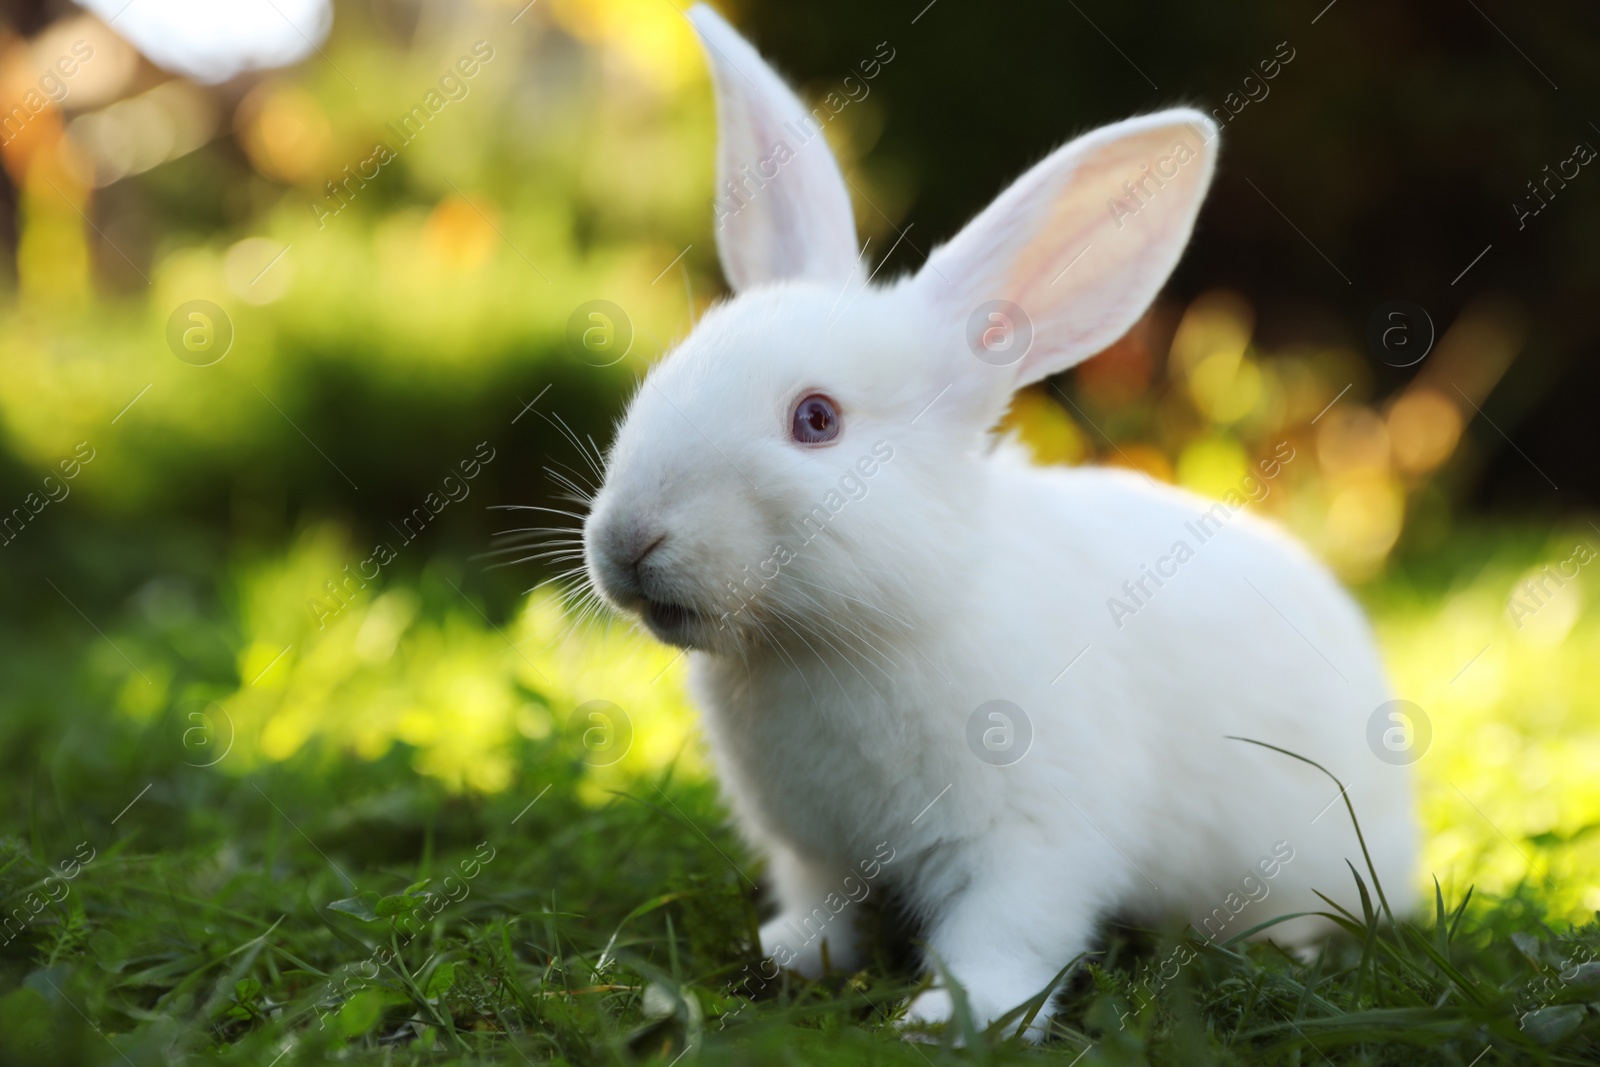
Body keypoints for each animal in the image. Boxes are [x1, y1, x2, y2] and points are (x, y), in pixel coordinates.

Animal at [582, 4, 1420, 1036]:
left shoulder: (1033, 841)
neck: (848, 635)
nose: (628, 539)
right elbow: (824, 908)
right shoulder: (814, 850)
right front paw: (790, 956)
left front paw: (946, 1018)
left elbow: (1006, 936)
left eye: (816, 420)